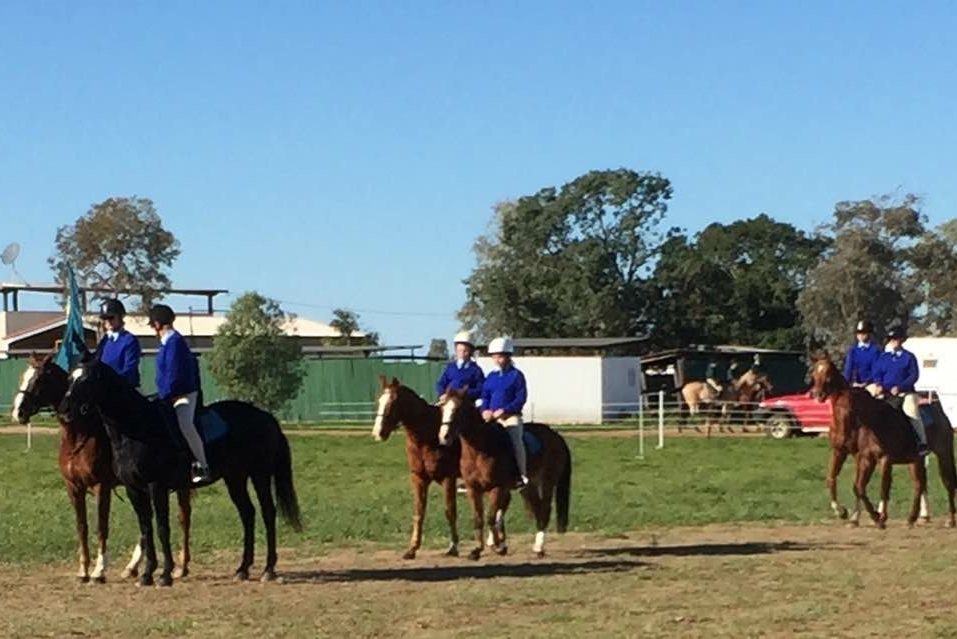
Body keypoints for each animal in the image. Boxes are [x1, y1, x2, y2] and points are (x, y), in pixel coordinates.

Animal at [9, 356, 191, 584]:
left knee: (183, 518)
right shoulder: (73, 488)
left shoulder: (100, 487)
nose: (18, 413)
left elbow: (101, 526)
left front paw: (99, 571)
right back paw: (133, 567)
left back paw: (180, 567)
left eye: (39, 379)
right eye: (22, 377)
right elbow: (82, 527)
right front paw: (83, 570)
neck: (79, 436)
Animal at [60, 362, 298, 588]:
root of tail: (266, 417)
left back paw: (268, 569)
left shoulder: (156, 486)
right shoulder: (133, 489)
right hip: (235, 478)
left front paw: (165, 574)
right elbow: (146, 528)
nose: (64, 409)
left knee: (268, 512)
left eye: (87, 379)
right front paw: (147, 574)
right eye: (70, 378)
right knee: (247, 513)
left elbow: (162, 528)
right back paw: (243, 569)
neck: (136, 429)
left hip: (260, 474)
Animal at [370, 380, 460, 560]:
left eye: (392, 403)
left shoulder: (448, 478)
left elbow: (450, 511)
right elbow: (419, 512)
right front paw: (412, 549)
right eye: (379, 401)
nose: (377, 433)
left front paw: (453, 547)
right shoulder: (418, 478)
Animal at [436, 384, 572, 560]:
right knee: (536, 508)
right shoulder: (473, 489)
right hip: (529, 486)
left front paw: (498, 546)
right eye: (442, 408)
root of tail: (556, 436)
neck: (480, 450)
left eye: (458, 409)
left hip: (547, 481)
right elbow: (479, 518)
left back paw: (539, 548)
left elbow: (491, 516)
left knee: (544, 510)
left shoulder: (497, 487)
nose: (443, 436)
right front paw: (478, 550)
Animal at [808, 352, 956, 528]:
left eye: (828, 373)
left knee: (948, 482)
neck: (875, 420)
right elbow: (851, 485)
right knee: (919, 484)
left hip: (943, 454)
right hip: (916, 459)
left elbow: (882, 487)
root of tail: (938, 409)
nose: (818, 395)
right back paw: (912, 518)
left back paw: (950, 520)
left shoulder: (884, 459)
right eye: (814, 374)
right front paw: (848, 513)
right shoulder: (855, 455)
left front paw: (879, 517)